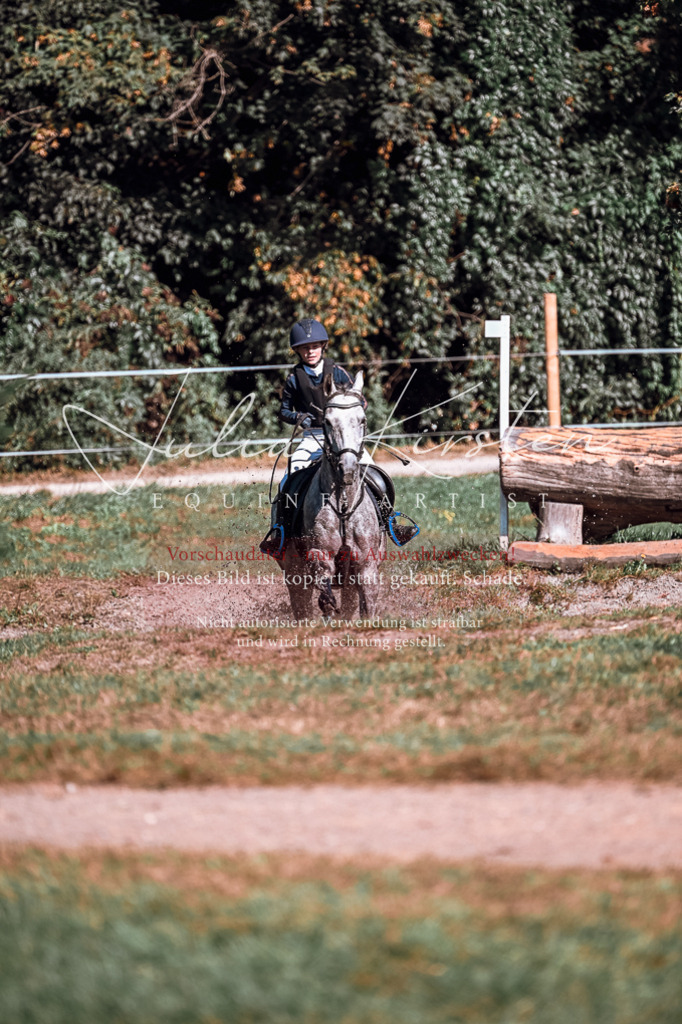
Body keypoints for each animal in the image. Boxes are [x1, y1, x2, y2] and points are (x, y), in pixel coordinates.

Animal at [281, 371, 386, 619]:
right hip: (294, 573)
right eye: (327, 422)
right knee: (302, 605)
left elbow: (367, 606)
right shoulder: (321, 557)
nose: (346, 469)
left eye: (362, 420)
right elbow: (326, 599)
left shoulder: (366, 565)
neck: (343, 503)